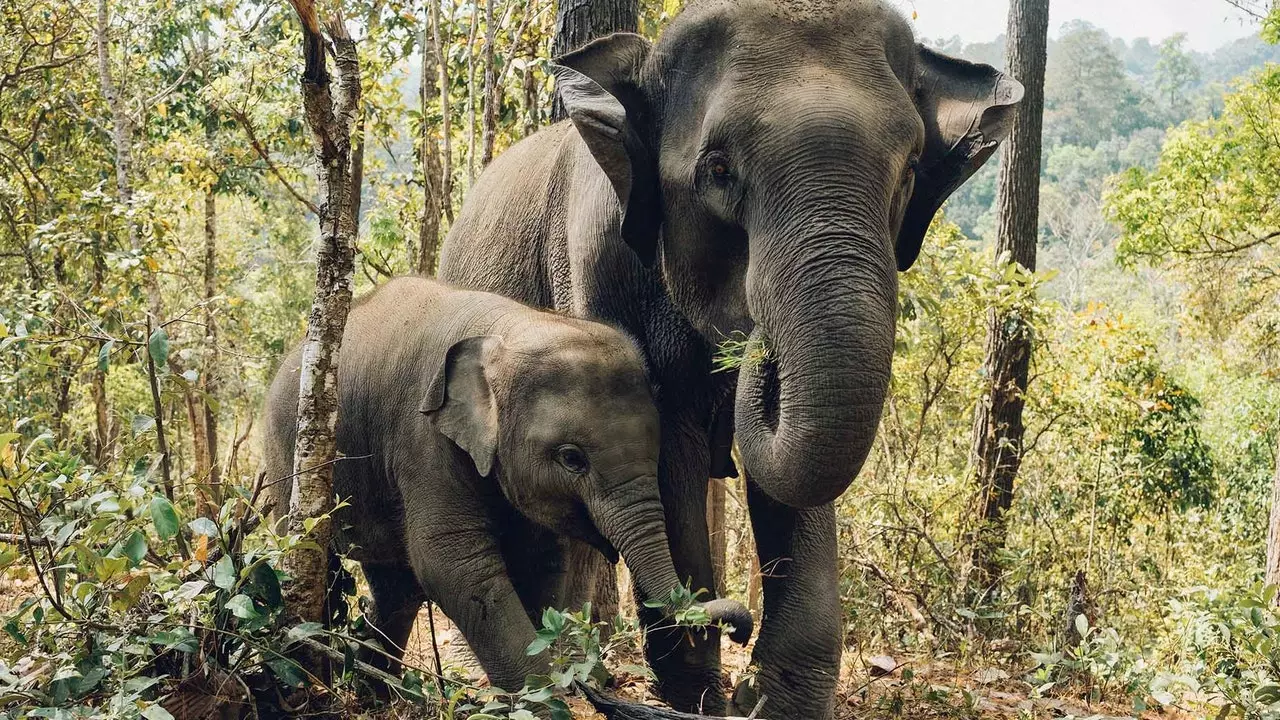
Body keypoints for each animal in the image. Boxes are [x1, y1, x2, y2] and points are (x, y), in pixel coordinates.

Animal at [264, 274, 752, 691]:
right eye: (572, 459)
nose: (740, 630)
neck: (509, 327)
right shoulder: (423, 437)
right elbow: (453, 562)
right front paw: (547, 696)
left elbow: (541, 559)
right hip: (287, 457)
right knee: (318, 559)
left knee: (395, 587)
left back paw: (375, 692)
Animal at [440, 1, 1018, 712]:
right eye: (718, 170)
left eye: (910, 169)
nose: (755, 344)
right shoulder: (599, 268)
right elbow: (669, 448)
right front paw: (704, 693)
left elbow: (793, 478)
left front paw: (769, 701)